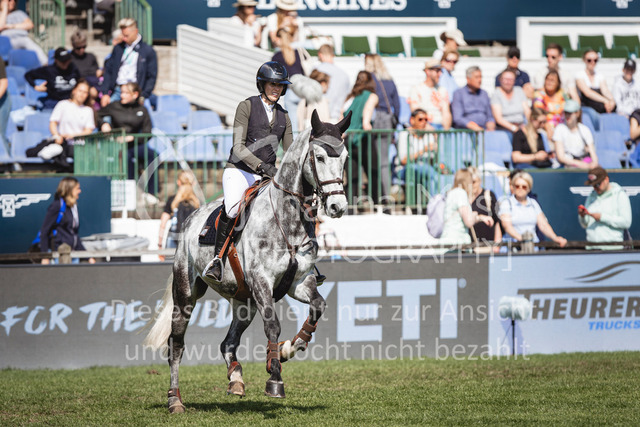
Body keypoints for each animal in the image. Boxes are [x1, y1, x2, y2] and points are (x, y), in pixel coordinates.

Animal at [144, 110, 352, 412]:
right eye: (320, 157)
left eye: (345, 157)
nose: (338, 207)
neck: (287, 220)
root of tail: (191, 219)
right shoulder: (261, 281)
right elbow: (273, 325)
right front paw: (275, 380)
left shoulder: (299, 282)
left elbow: (318, 307)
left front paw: (288, 349)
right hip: (186, 294)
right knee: (177, 345)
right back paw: (175, 400)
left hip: (244, 302)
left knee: (227, 343)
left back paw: (236, 380)